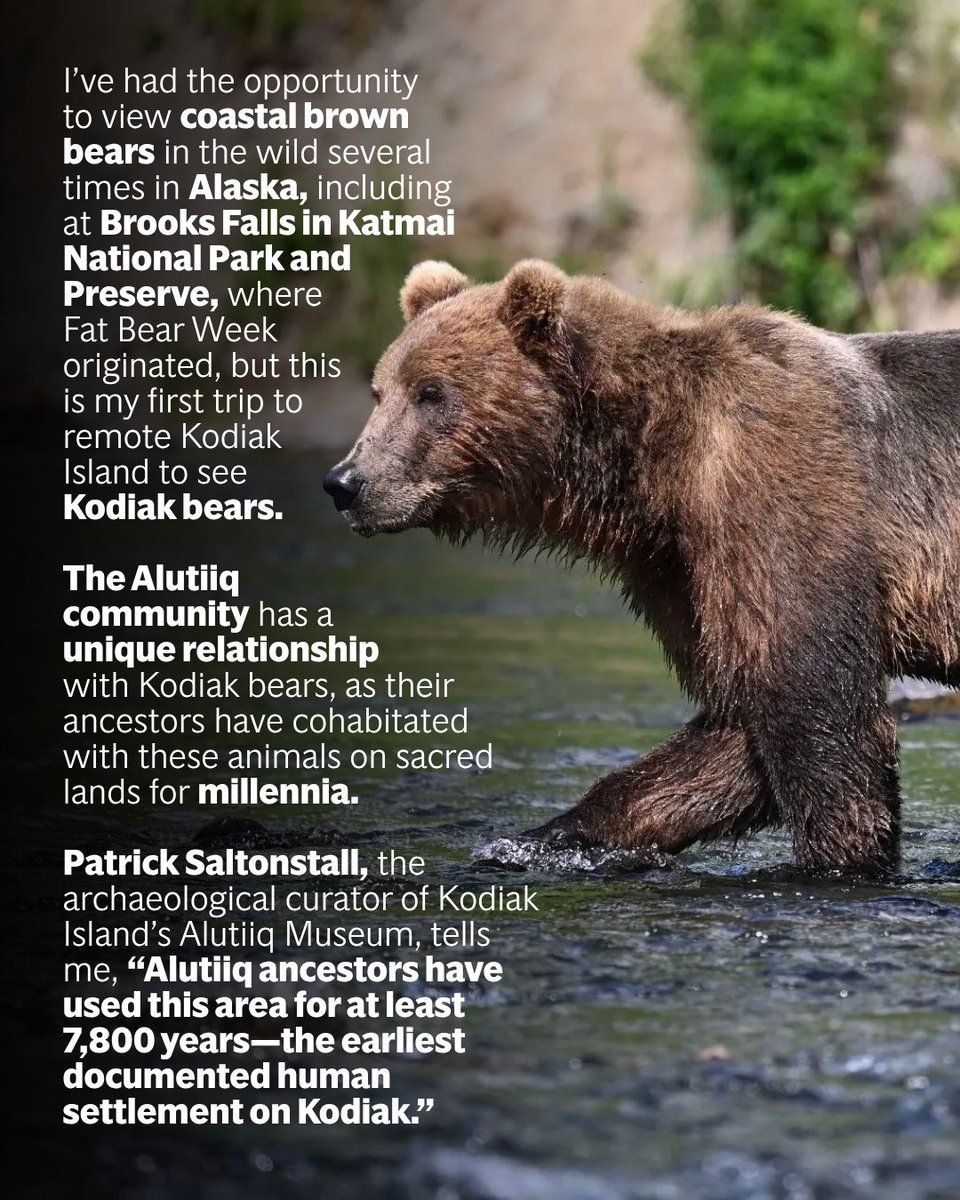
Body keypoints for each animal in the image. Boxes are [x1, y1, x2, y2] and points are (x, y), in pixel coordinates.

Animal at [324, 259, 960, 873]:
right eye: (381, 391)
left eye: (431, 392)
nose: (346, 482)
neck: (652, 467)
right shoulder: (679, 567)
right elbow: (731, 734)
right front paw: (541, 841)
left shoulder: (781, 499)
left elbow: (815, 706)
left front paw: (843, 858)